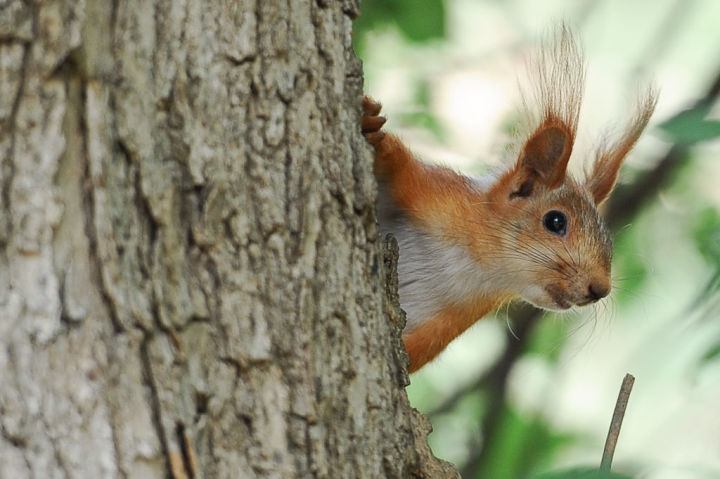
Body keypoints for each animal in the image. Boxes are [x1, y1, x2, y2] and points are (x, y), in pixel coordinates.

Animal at [362, 29, 656, 376]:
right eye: (555, 221)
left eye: (608, 238)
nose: (600, 289)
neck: (480, 269)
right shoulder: (432, 193)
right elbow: (398, 165)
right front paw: (373, 127)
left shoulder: (440, 329)